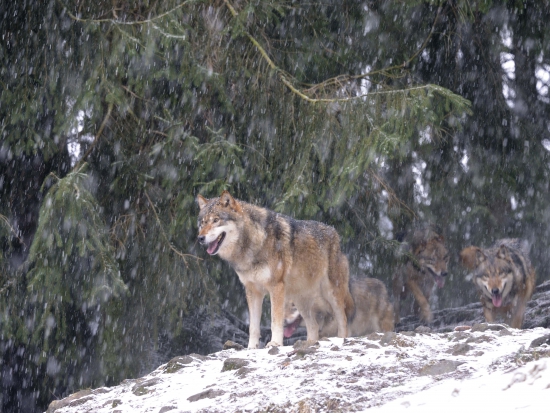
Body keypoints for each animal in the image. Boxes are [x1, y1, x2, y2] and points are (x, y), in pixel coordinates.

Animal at [196, 191, 356, 348]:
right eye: (203, 222)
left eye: (216, 220)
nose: (200, 238)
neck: (252, 245)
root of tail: (334, 233)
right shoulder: (252, 291)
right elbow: (253, 326)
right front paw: (251, 348)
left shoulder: (276, 287)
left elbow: (275, 321)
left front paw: (275, 343)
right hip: (300, 301)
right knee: (314, 326)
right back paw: (309, 344)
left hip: (332, 294)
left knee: (343, 320)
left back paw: (341, 340)